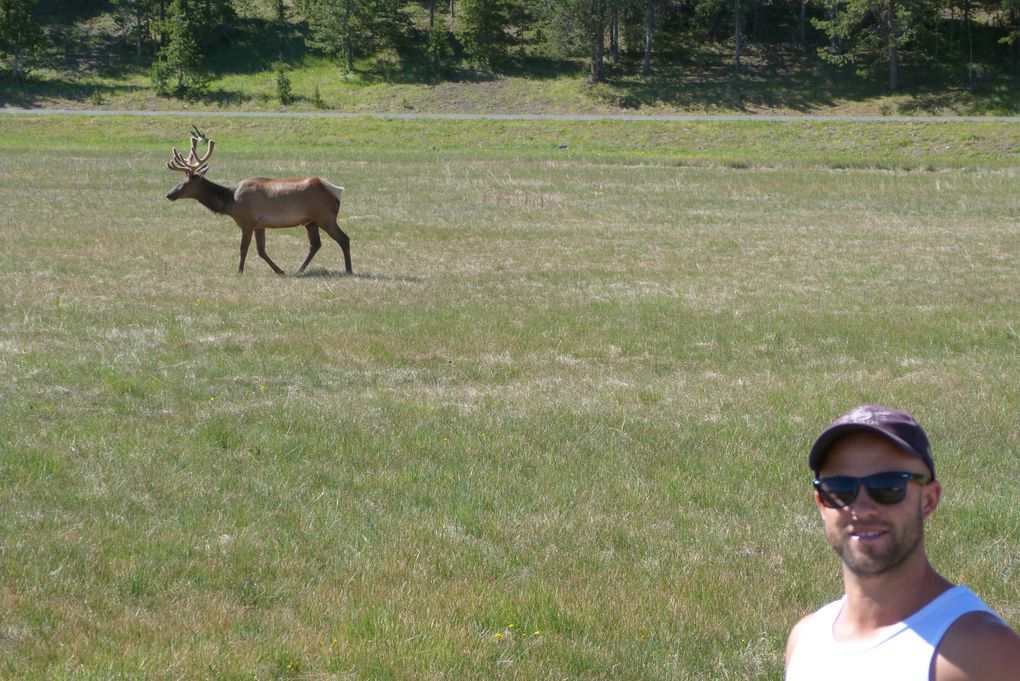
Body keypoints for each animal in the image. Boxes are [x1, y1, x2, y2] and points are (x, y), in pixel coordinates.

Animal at [165, 126, 352, 275]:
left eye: (187, 182)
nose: (169, 194)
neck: (230, 203)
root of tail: (337, 190)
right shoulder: (260, 225)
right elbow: (261, 250)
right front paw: (279, 270)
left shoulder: (247, 222)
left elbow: (243, 249)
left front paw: (239, 271)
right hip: (310, 221)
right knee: (315, 244)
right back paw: (299, 269)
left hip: (325, 216)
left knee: (344, 239)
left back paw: (348, 270)